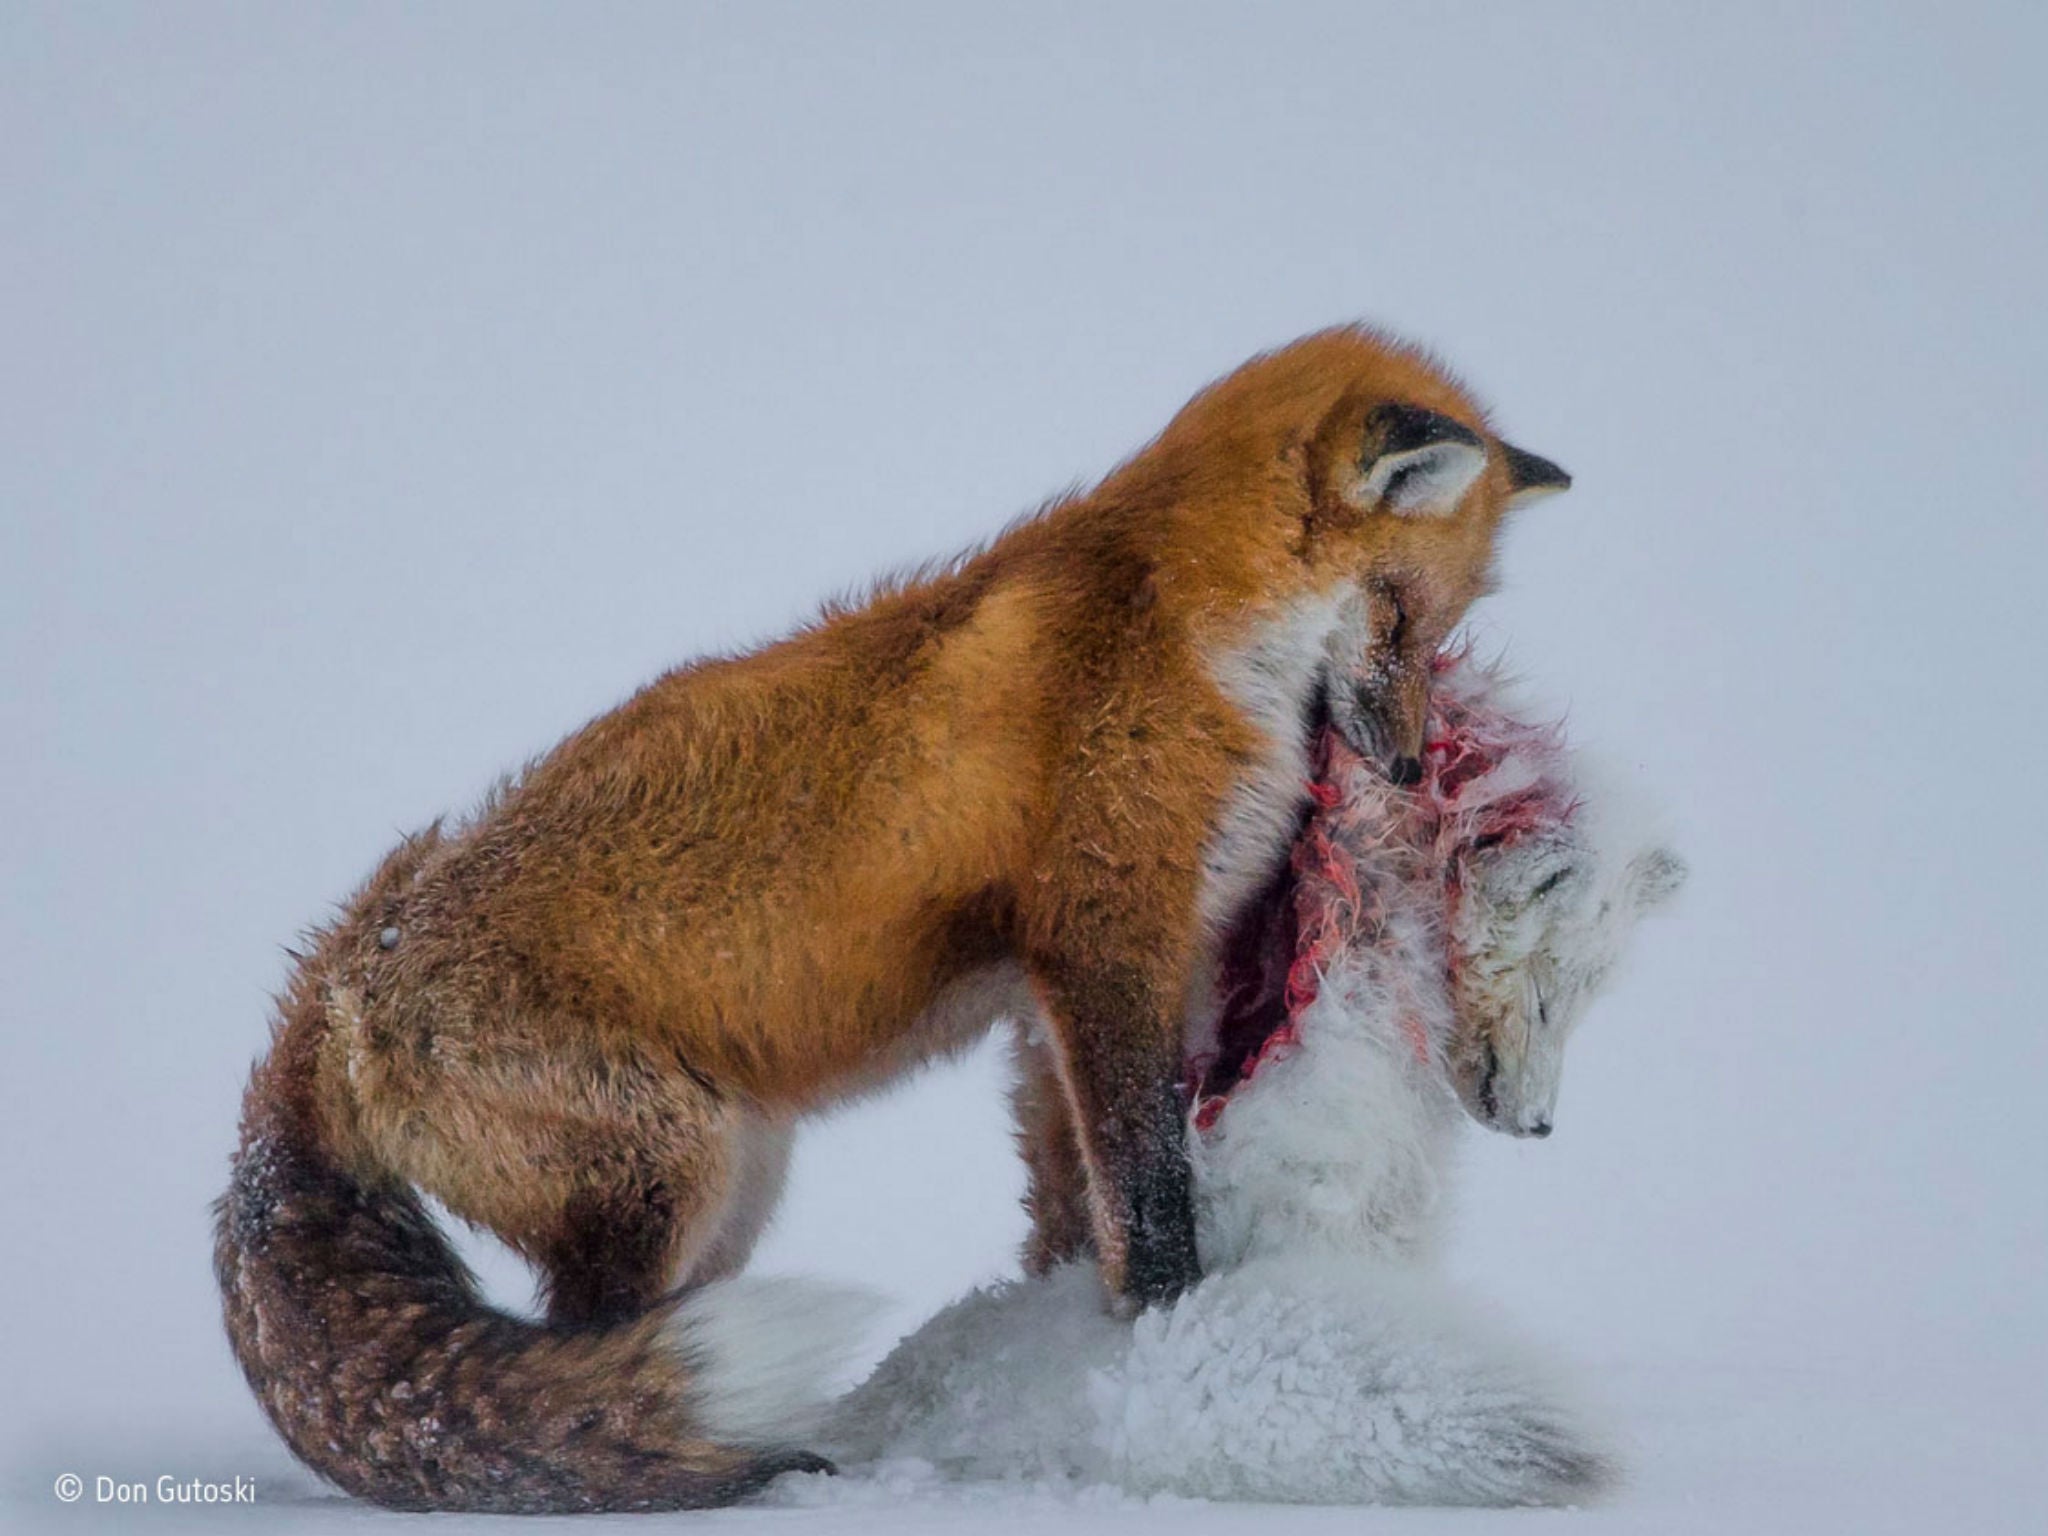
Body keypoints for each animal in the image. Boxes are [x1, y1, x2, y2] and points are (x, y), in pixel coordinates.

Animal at [220, 325, 1564, 1515]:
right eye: (1399, 615)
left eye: (1438, 630)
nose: (1403, 768)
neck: (1183, 628)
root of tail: (335, 981)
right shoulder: (1103, 944)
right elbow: (1145, 1200)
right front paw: (1167, 1341)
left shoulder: (1062, 1001)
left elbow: (1071, 1209)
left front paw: (1072, 1356)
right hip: (673, 1172)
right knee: (582, 1383)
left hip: (732, 1189)